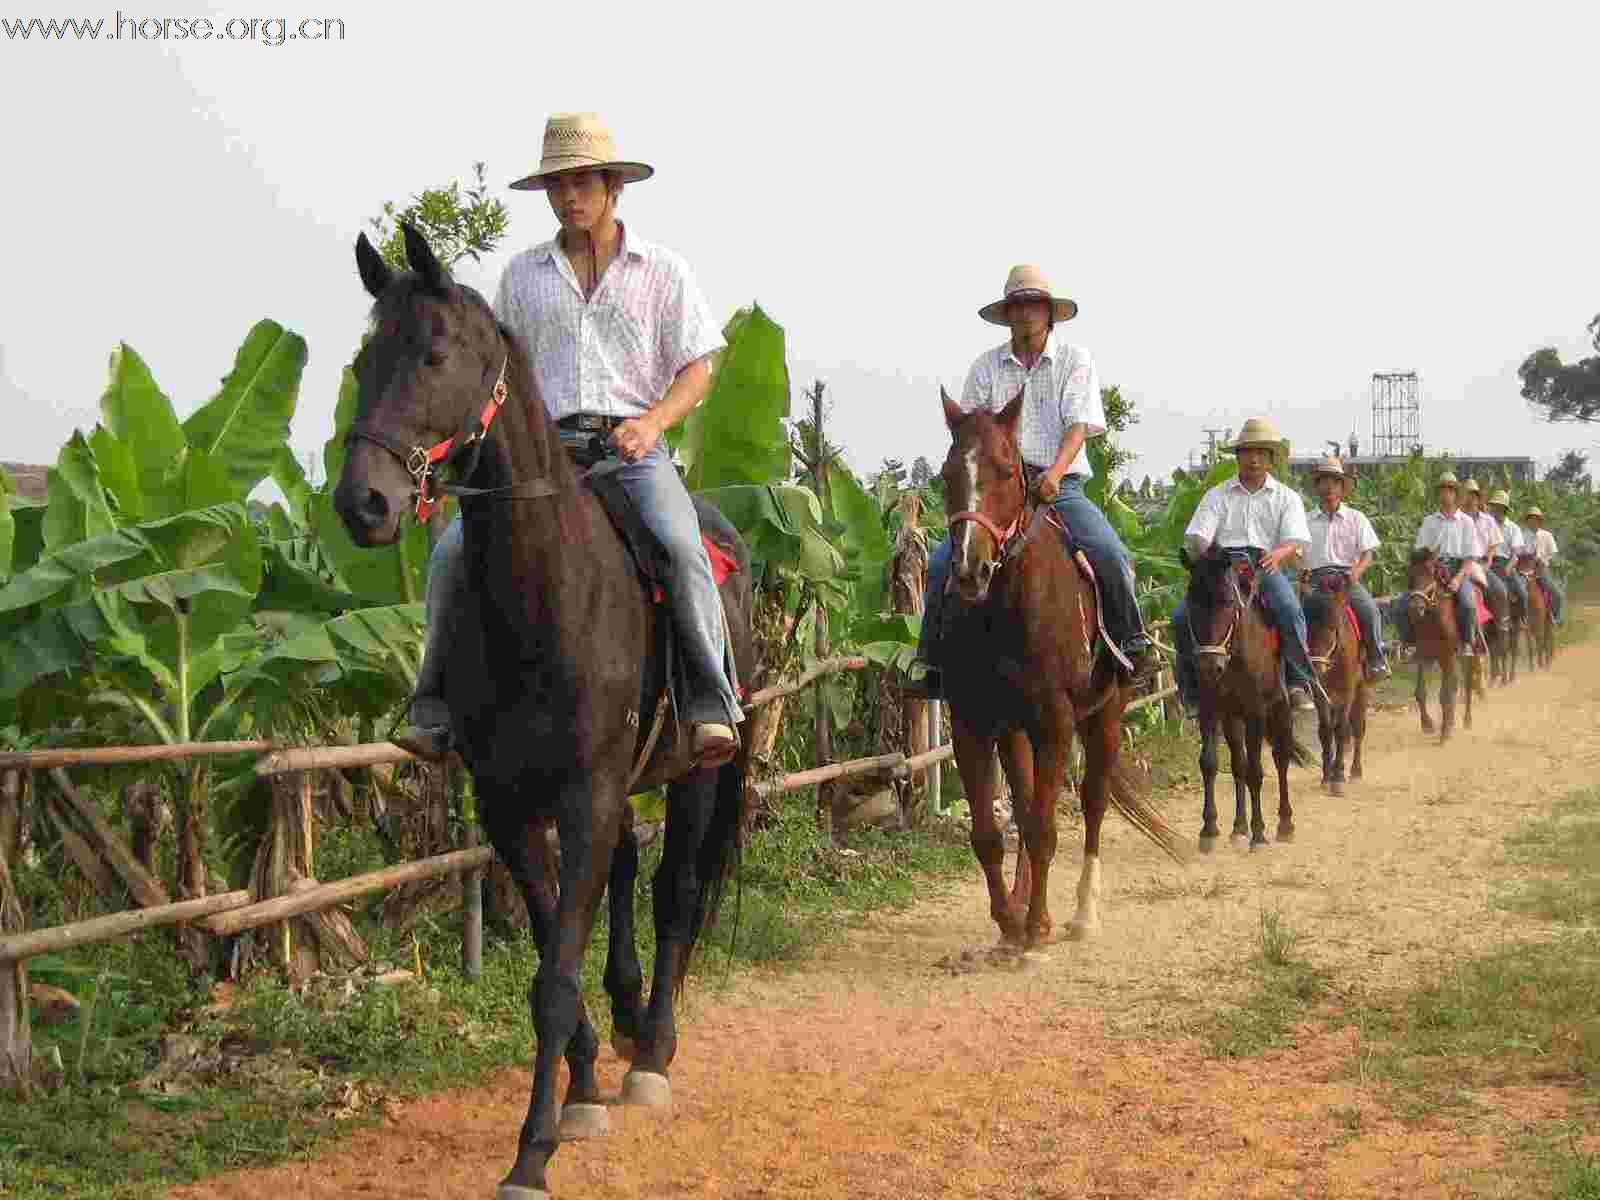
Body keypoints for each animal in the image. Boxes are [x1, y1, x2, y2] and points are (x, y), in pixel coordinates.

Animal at [332, 227, 755, 1200]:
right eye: (364, 360)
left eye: (433, 353)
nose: (362, 504)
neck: (545, 597)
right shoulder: (510, 804)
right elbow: (546, 956)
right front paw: (583, 1086)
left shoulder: (587, 793)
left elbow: (558, 976)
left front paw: (534, 1149)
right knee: (630, 873)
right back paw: (629, 1022)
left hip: (697, 772)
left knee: (677, 891)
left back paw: (655, 1050)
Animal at [934, 390, 1184, 953]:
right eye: (946, 474)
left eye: (1007, 470)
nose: (970, 571)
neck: (1004, 610)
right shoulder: (971, 722)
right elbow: (991, 833)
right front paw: (1011, 923)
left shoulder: (1057, 720)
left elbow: (1046, 828)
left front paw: (1034, 931)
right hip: (1016, 730)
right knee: (1027, 809)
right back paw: (1028, 905)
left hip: (1105, 714)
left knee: (1093, 802)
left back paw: (1080, 913)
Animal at [1190, 550, 1312, 851]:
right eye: (1191, 602)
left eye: (1227, 601)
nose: (1209, 666)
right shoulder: (1210, 709)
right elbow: (1210, 763)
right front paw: (1209, 829)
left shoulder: (1256, 711)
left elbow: (1257, 772)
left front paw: (1259, 834)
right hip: (1232, 716)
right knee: (1239, 765)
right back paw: (1238, 827)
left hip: (1279, 708)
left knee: (1280, 758)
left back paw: (1284, 824)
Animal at [1305, 569, 1369, 800]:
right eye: (1305, 625)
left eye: (1334, 627)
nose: (1315, 667)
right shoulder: (1320, 693)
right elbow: (1325, 731)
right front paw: (1326, 776)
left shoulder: (1347, 692)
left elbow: (1342, 731)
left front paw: (1338, 778)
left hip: (1362, 690)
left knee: (1357, 728)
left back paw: (1355, 771)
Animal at [1408, 550, 1465, 739]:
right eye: (1410, 575)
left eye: (1430, 573)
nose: (1415, 607)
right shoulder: (1425, 654)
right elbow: (1420, 692)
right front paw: (1428, 724)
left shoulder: (1448, 655)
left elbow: (1445, 694)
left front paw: (1445, 731)